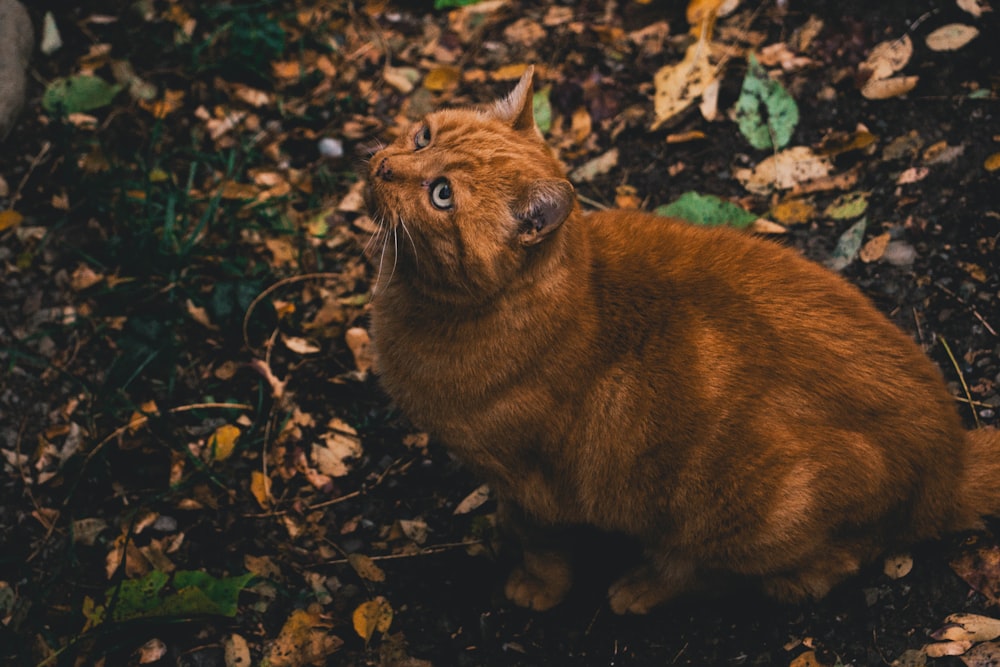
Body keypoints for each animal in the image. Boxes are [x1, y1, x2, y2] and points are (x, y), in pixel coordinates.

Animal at [366, 68, 1000, 616]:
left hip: (740, 513)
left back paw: (645, 588)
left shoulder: (532, 486)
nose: (384, 167)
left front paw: (534, 586)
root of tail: (949, 456)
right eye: (422, 136)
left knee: (768, 571)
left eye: (442, 194)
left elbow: (542, 548)